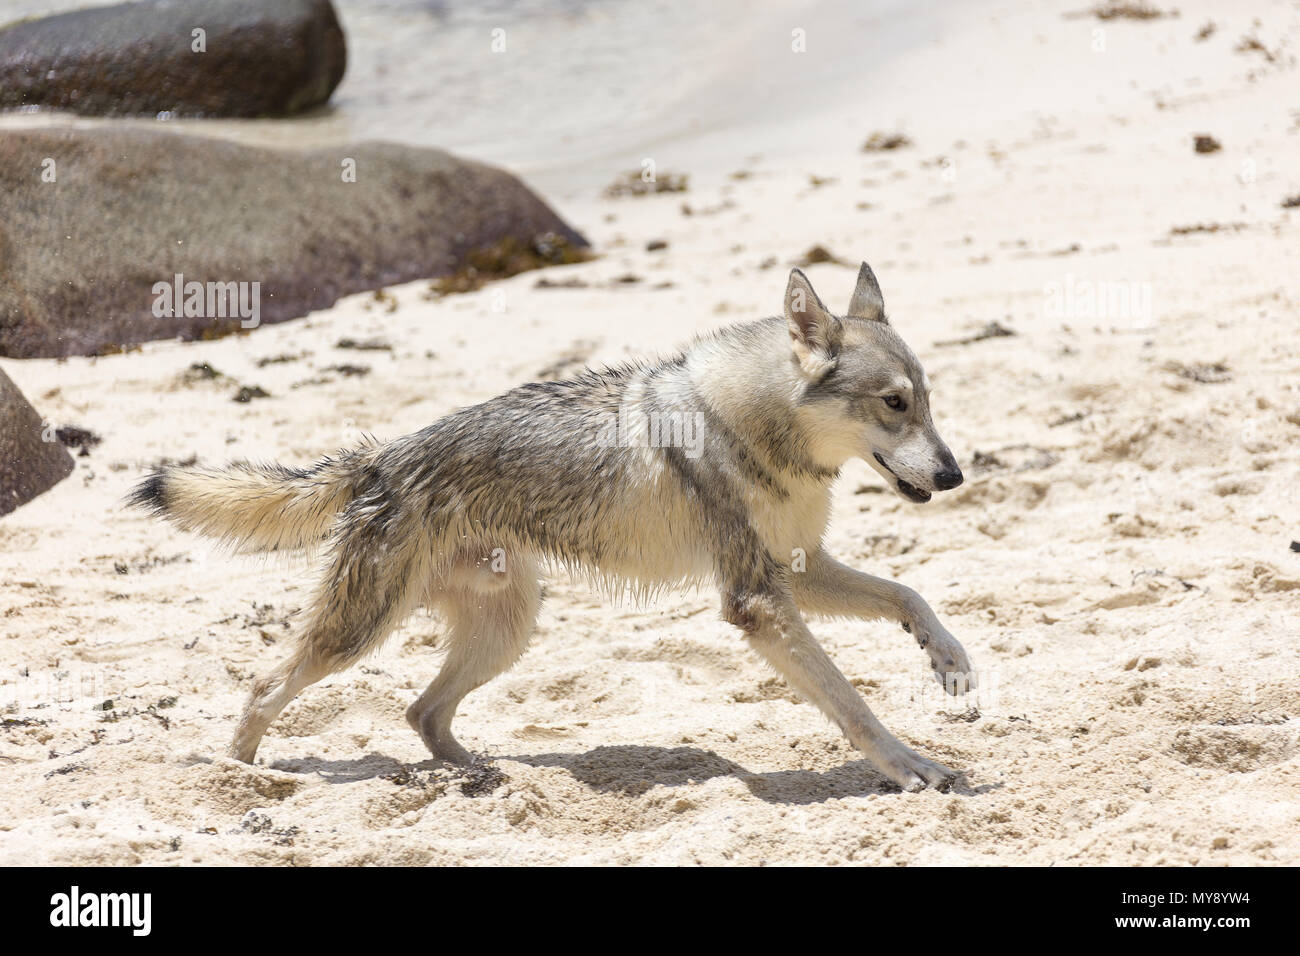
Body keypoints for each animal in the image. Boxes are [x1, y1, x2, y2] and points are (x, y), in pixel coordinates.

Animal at [131, 261, 977, 790]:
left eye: (930, 402)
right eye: (894, 403)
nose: (954, 475)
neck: (752, 426)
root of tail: (381, 458)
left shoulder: (798, 569)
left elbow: (909, 596)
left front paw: (948, 658)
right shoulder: (760, 600)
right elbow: (850, 700)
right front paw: (909, 765)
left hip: (506, 630)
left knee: (421, 712)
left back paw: (486, 773)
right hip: (360, 632)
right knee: (266, 684)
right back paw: (238, 775)